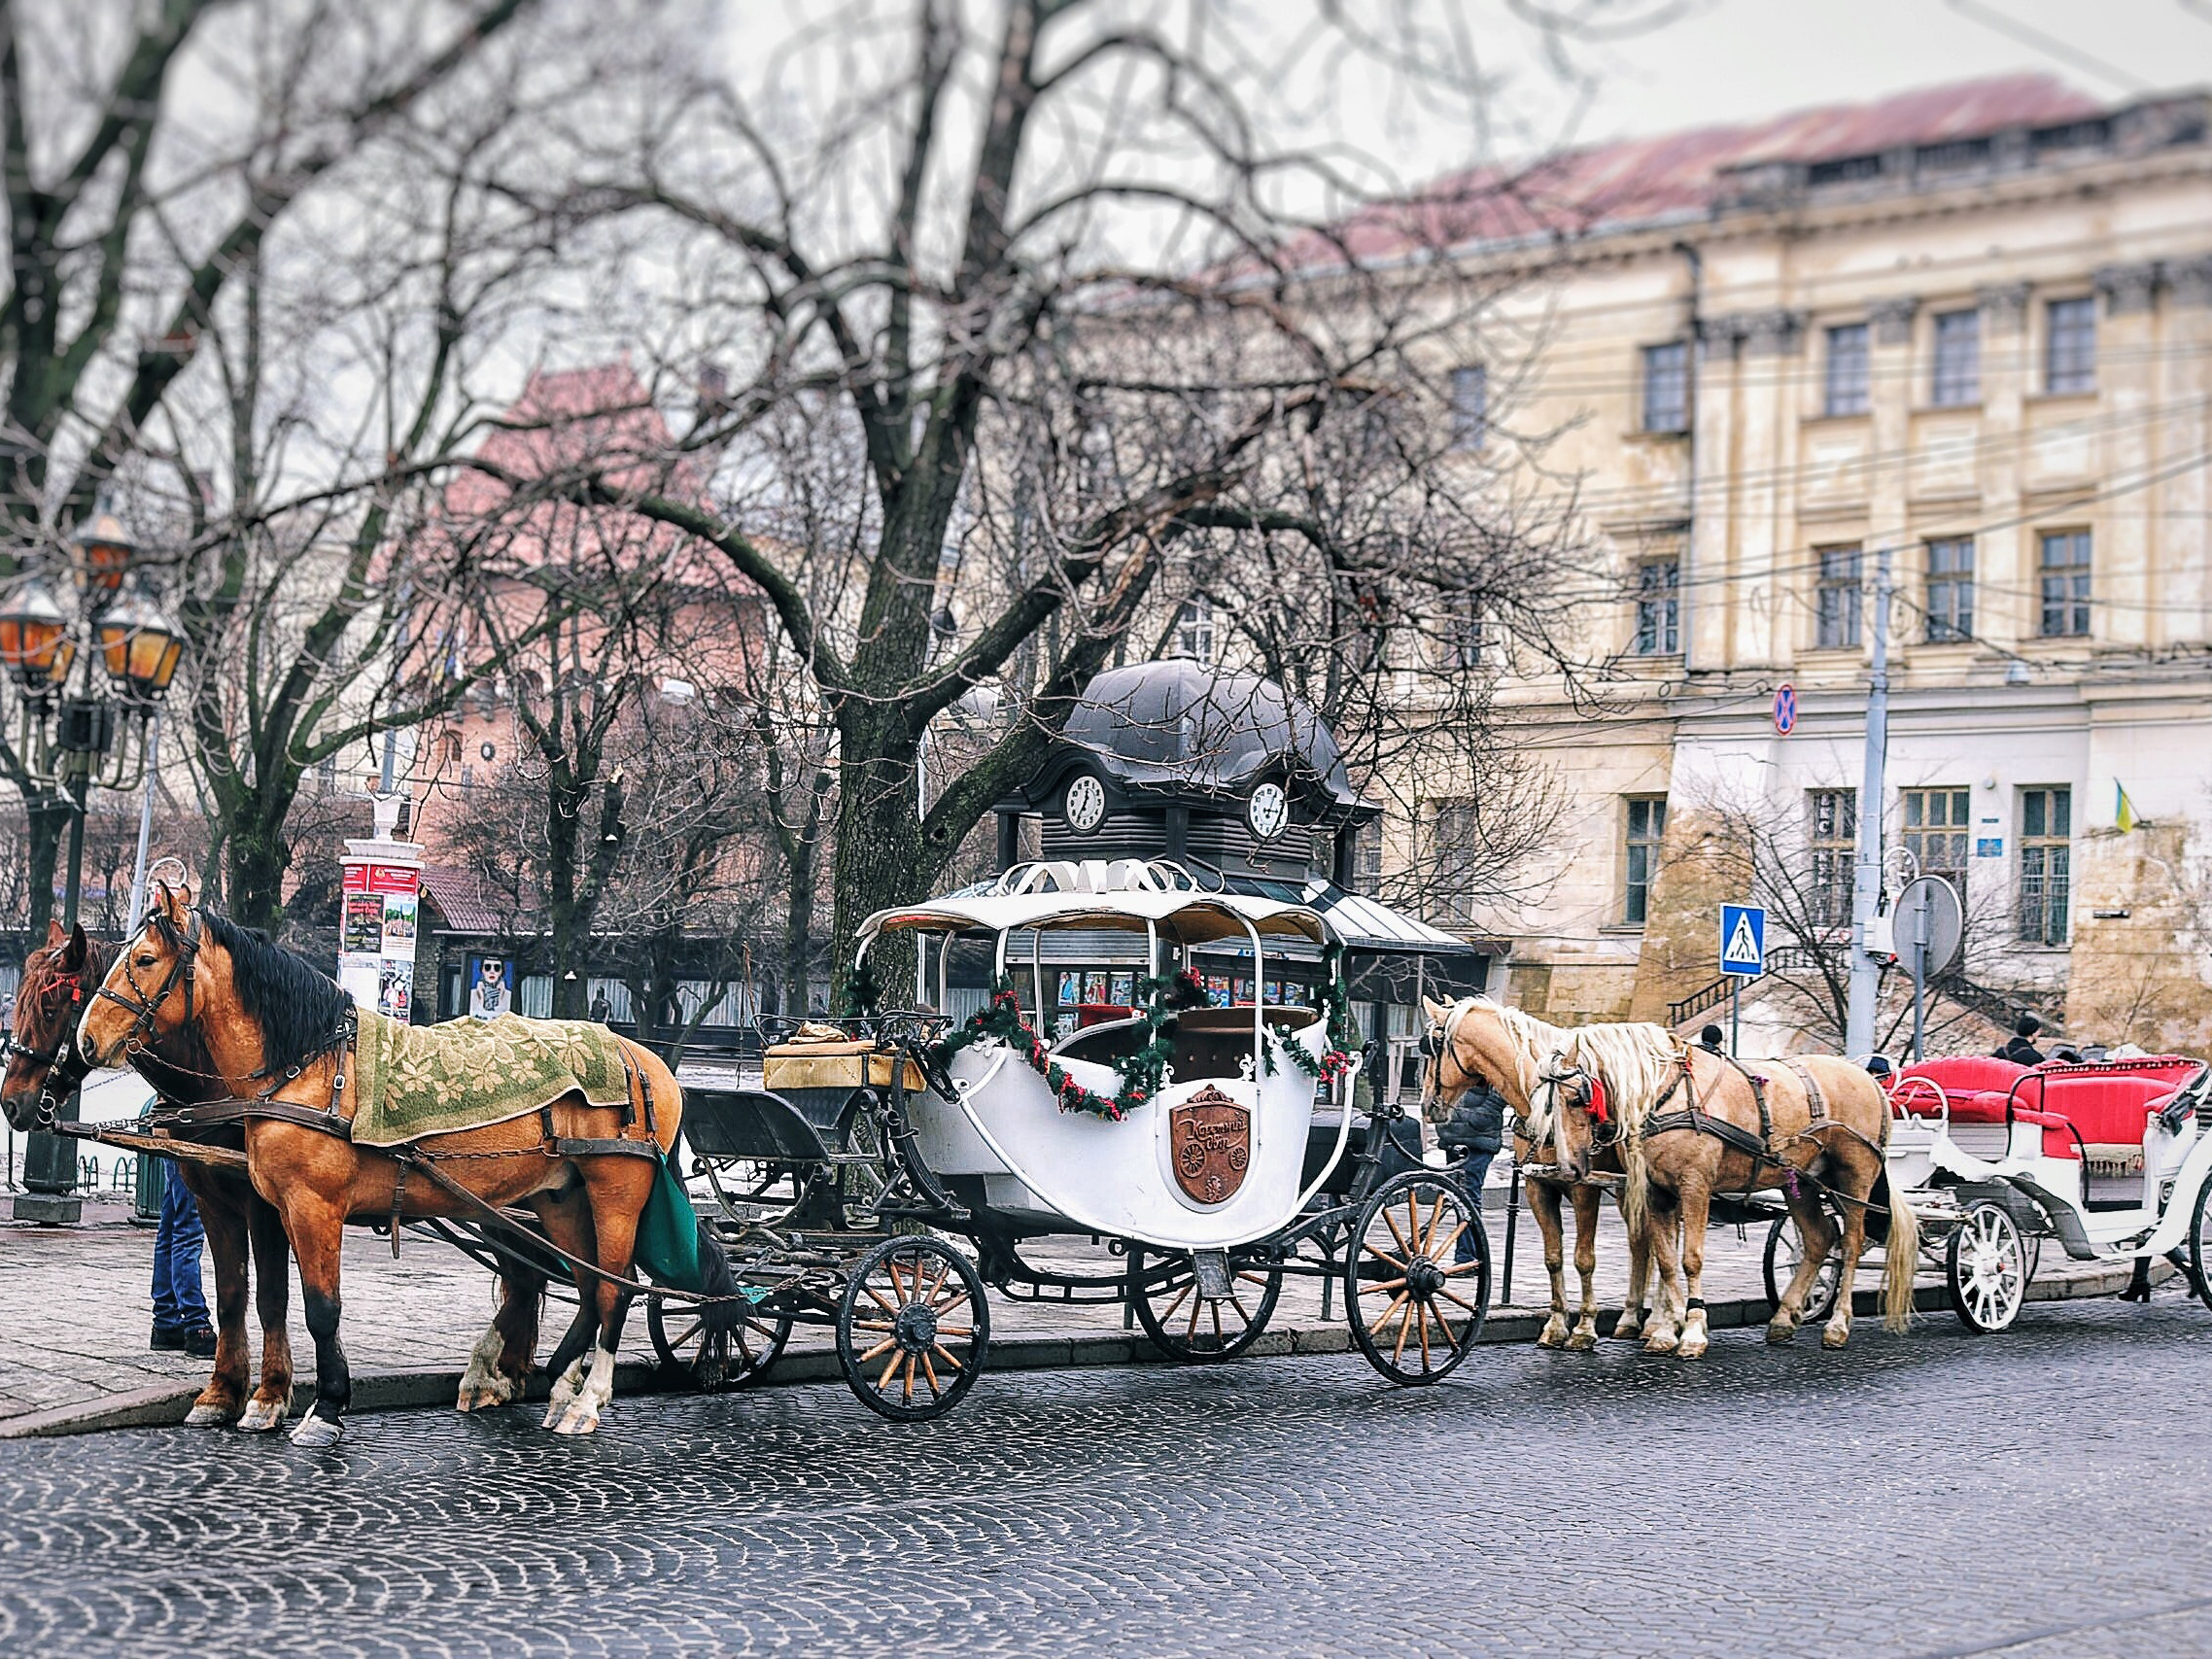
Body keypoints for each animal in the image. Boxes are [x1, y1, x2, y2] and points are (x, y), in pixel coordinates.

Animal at [4, 928, 548, 1433]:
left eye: (51, 1006)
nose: (12, 1103)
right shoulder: (212, 1201)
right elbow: (231, 1294)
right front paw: (222, 1391)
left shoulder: (268, 1206)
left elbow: (272, 1296)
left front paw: (271, 1394)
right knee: (528, 1277)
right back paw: (506, 1373)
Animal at [73, 888, 690, 1451]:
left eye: (144, 959)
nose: (86, 1040)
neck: (308, 1068)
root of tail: (645, 1059)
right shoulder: (269, 1207)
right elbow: (257, 1295)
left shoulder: (311, 1208)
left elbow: (321, 1308)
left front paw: (324, 1407)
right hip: (558, 1198)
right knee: (585, 1286)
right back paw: (556, 1387)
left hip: (615, 1194)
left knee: (615, 1289)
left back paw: (587, 1401)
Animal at [1415, 999, 1672, 1353]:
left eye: (1432, 1050)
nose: (1426, 1104)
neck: (1546, 1103)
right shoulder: (1538, 1187)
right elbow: (1553, 1258)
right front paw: (1556, 1326)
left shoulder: (1584, 1188)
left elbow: (1584, 1259)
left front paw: (1584, 1328)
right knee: (1642, 1242)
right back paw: (1634, 1319)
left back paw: (1661, 1321)